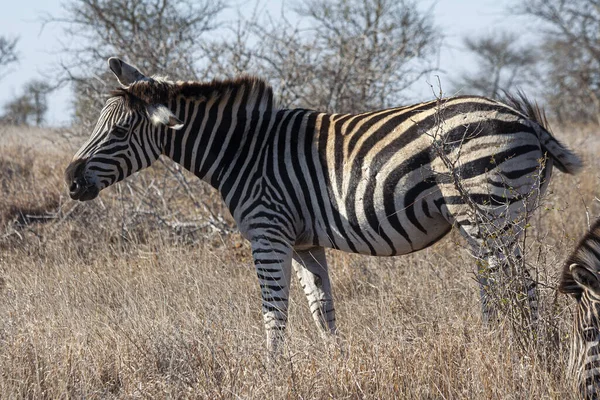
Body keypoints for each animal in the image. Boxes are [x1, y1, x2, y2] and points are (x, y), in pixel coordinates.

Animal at [64, 57, 580, 354]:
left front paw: (273, 373)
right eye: (100, 124)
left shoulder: (268, 233)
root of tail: (525, 120)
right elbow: (321, 310)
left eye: (120, 131)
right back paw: (513, 346)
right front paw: (336, 366)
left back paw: (523, 352)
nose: (70, 181)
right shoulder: (304, 243)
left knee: (518, 285)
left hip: (486, 208)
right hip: (493, 216)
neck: (242, 150)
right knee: (502, 283)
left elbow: (274, 313)